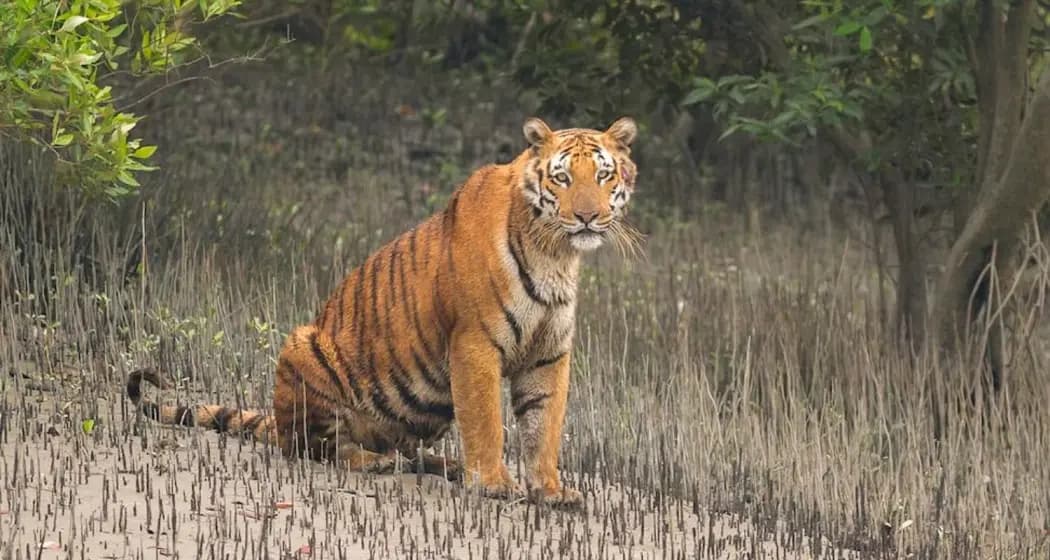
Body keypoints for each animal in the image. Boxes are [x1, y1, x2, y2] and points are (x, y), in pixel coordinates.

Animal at [127, 116, 639, 509]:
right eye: (562, 178)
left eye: (603, 176)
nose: (587, 217)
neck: (556, 254)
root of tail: (276, 417)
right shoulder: (475, 344)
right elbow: (486, 421)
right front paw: (493, 484)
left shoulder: (548, 355)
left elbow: (544, 426)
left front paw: (550, 491)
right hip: (304, 347)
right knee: (315, 447)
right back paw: (374, 462)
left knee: (405, 448)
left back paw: (445, 464)